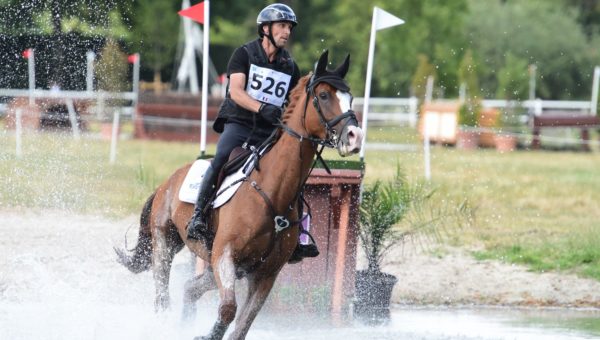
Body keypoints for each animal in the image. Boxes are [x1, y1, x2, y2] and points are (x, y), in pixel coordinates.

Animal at [115, 51, 364, 340]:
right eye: (323, 95)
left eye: (350, 97)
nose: (354, 136)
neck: (272, 191)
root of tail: (168, 181)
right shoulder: (225, 255)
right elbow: (228, 310)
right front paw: (208, 335)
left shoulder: (265, 273)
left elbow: (241, 325)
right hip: (166, 242)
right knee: (162, 296)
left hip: (213, 264)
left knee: (190, 287)